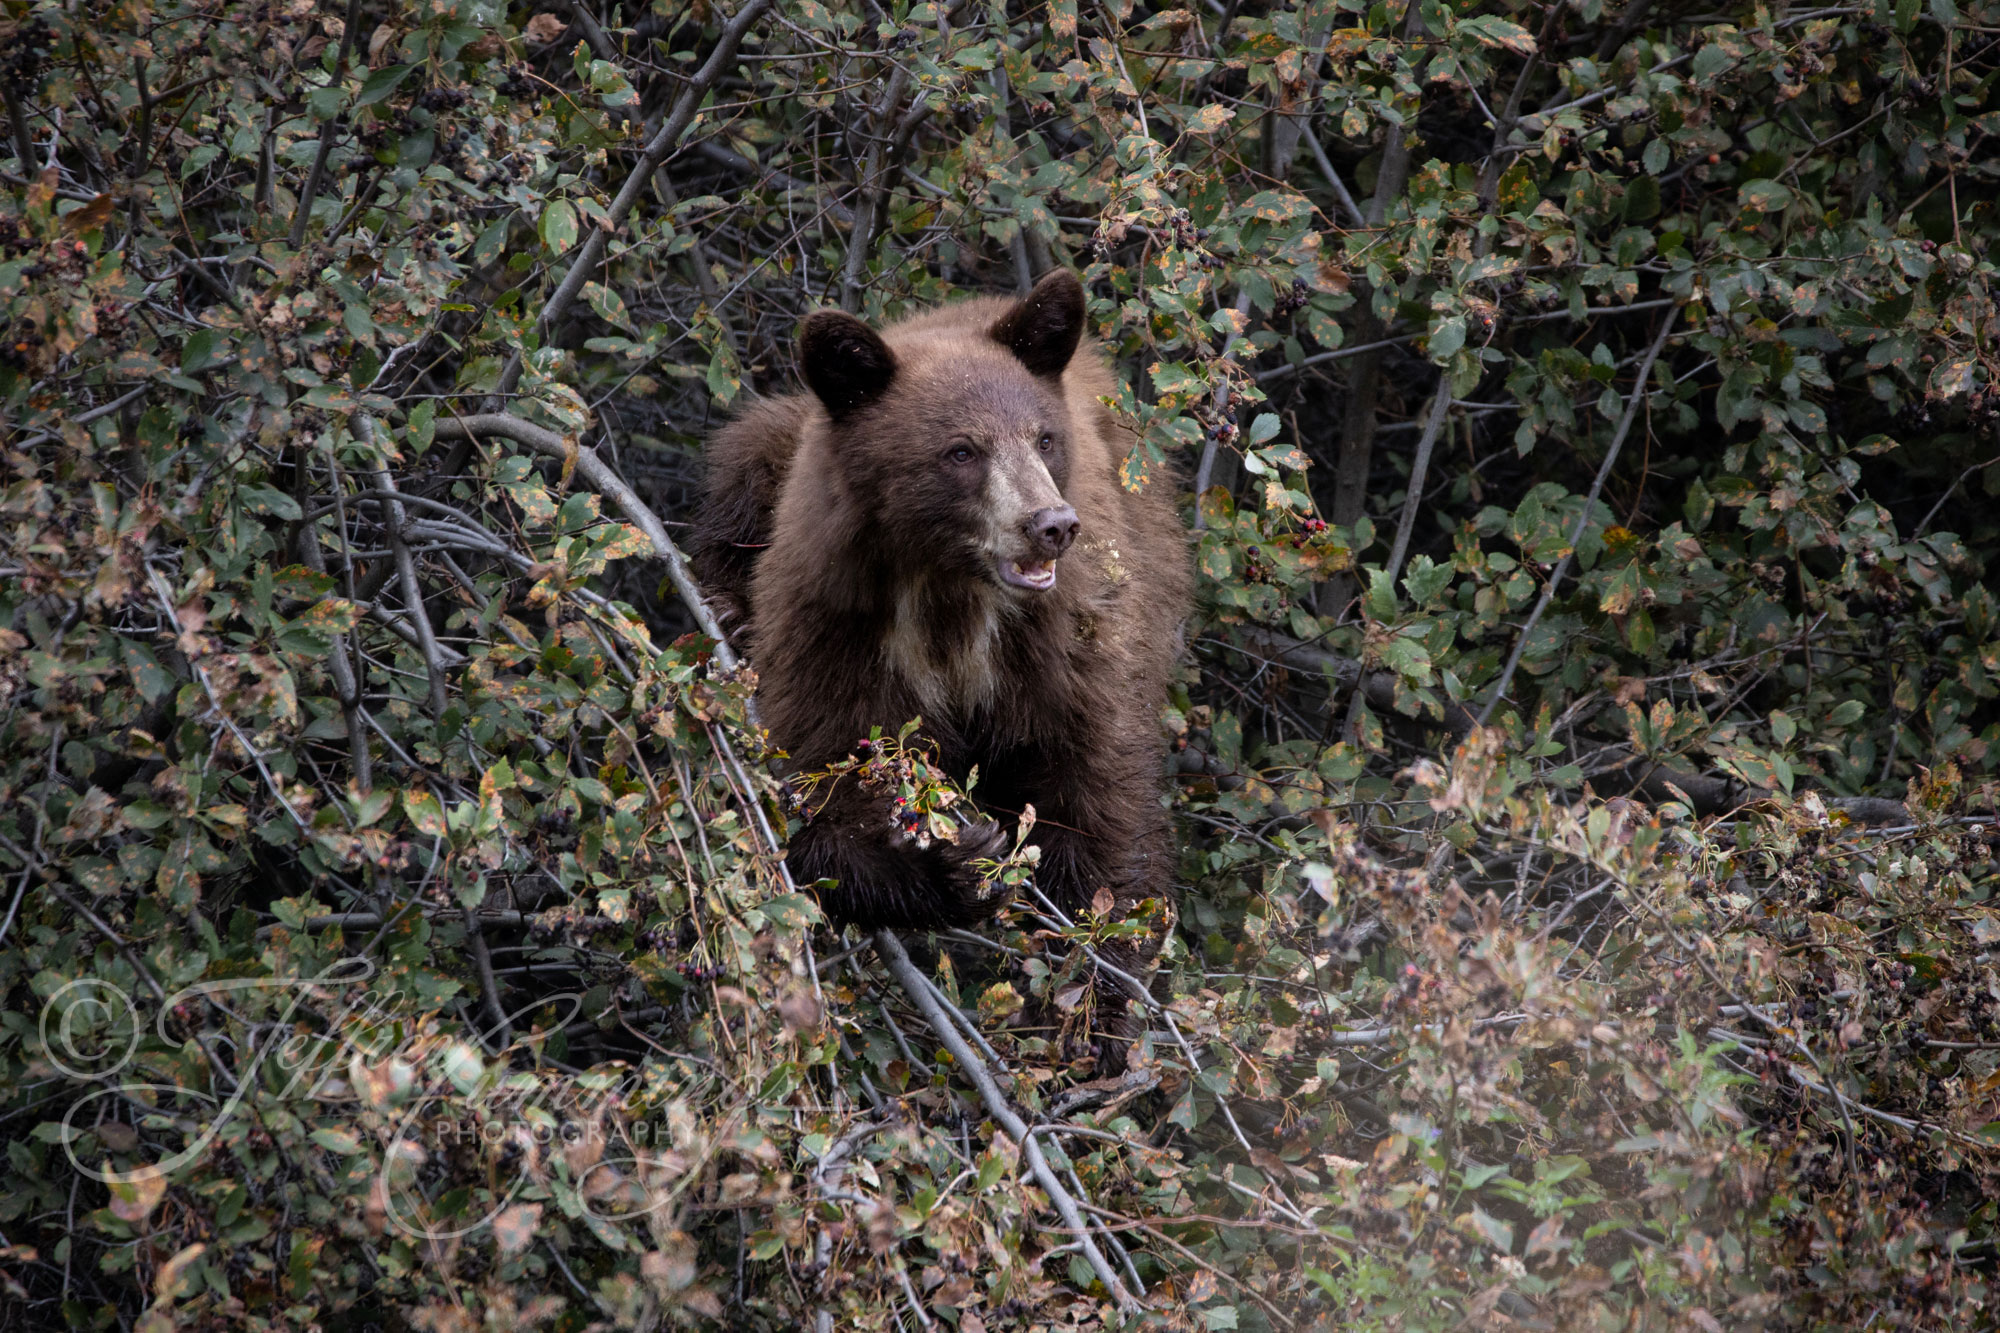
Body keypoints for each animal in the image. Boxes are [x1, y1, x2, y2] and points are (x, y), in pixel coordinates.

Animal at [692, 270, 1191, 1059]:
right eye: (961, 451)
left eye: (1045, 438)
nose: (1052, 525)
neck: (948, 592)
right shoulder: (835, 629)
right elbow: (813, 801)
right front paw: (956, 861)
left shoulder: (1069, 646)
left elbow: (1101, 799)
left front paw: (1098, 1019)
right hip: (778, 451)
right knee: (745, 457)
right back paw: (728, 607)